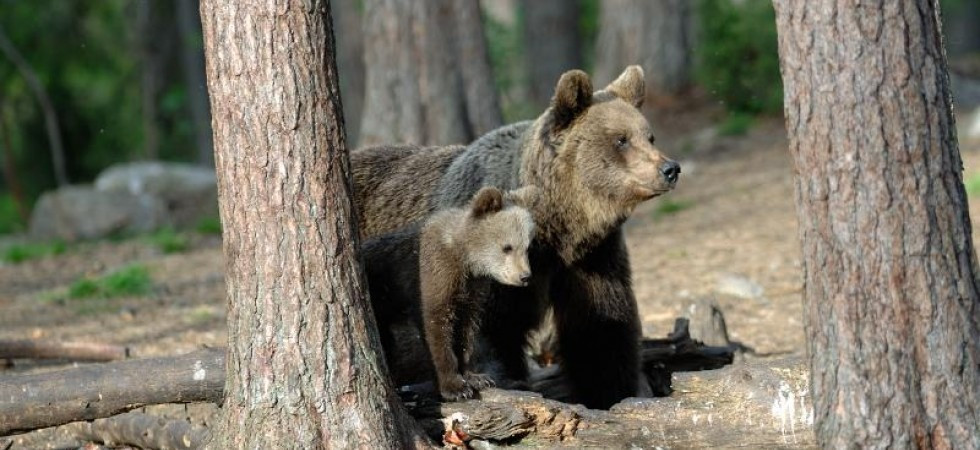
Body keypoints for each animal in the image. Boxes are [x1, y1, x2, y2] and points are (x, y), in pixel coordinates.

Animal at [361, 186, 538, 400]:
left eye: (527, 247)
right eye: (507, 247)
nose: (524, 276)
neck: (465, 258)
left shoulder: (472, 290)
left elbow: (466, 330)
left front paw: (476, 377)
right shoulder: (433, 274)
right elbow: (436, 326)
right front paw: (454, 387)